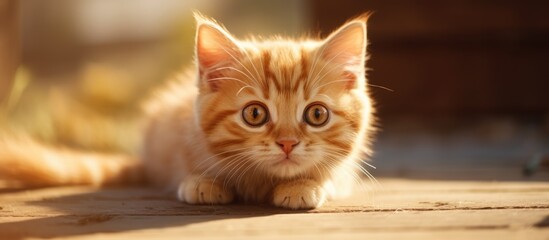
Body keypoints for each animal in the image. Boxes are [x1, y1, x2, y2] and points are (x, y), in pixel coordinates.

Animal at [0, 12, 374, 209]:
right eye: (255, 115)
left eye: (316, 115)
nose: (287, 143)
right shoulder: (176, 129)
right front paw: (203, 181)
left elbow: (331, 174)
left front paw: (305, 184)